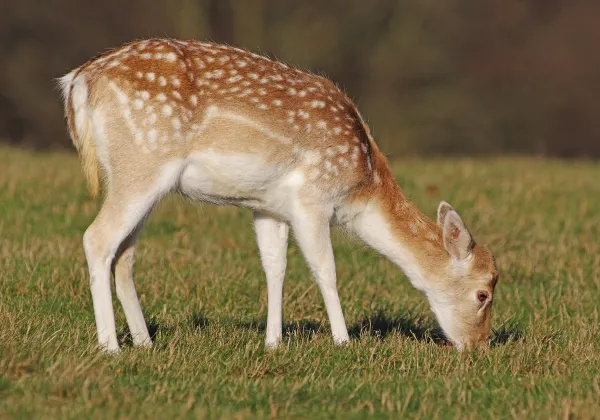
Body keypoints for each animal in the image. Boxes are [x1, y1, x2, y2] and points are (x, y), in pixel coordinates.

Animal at [57, 38, 496, 354]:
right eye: (483, 293)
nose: (478, 347)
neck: (361, 186)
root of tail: (77, 82)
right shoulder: (312, 198)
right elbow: (326, 269)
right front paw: (343, 341)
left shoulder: (268, 208)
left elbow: (275, 268)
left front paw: (273, 342)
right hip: (141, 164)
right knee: (97, 238)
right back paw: (110, 347)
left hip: (134, 178)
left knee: (125, 253)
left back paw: (146, 342)